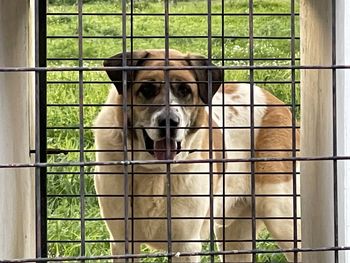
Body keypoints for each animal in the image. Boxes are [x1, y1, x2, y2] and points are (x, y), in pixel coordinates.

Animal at [93, 49, 300, 262]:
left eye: (185, 90)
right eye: (147, 89)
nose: (169, 122)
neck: (154, 171)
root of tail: (275, 102)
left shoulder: (186, 245)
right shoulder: (123, 242)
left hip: (280, 217)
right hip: (234, 237)